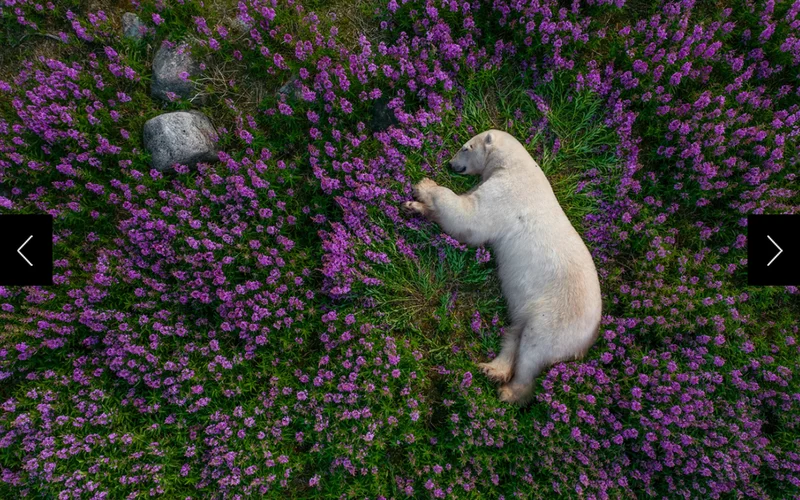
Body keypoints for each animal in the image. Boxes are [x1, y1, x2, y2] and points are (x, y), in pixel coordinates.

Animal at [402, 129, 602, 405]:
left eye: (465, 147)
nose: (450, 164)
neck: (516, 166)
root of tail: (589, 339)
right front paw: (413, 207)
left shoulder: (506, 194)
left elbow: (469, 217)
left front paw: (424, 186)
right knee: (515, 334)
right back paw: (491, 369)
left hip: (557, 318)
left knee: (533, 349)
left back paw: (509, 391)